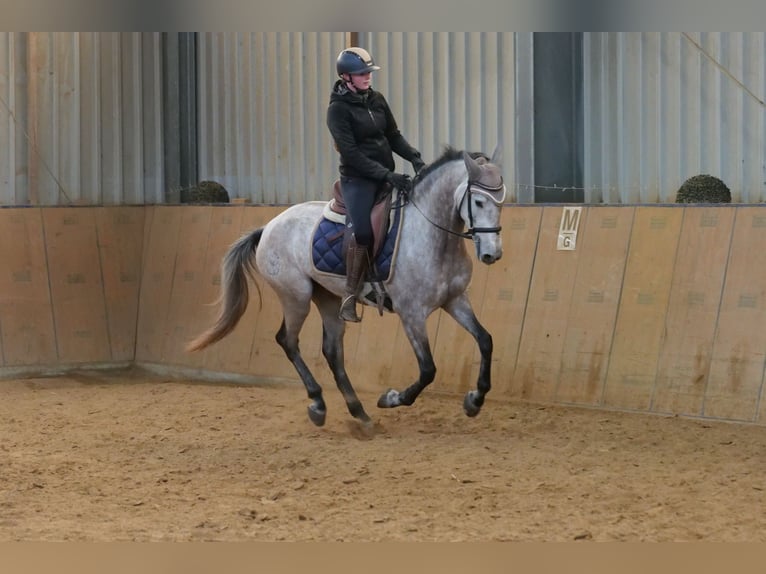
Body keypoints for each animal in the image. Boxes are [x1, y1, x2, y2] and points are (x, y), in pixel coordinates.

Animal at [188, 146, 508, 430]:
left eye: (500, 203)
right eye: (479, 202)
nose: (492, 254)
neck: (432, 236)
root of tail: (268, 227)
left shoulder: (455, 300)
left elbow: (485, 340)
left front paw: (475, 400)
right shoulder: (412, 314)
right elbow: (428, 369)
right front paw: (391, 398)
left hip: (330, 299)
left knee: (331, 351)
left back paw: (359, 413)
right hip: (296, 296)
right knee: (287, 341)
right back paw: (319, 404)